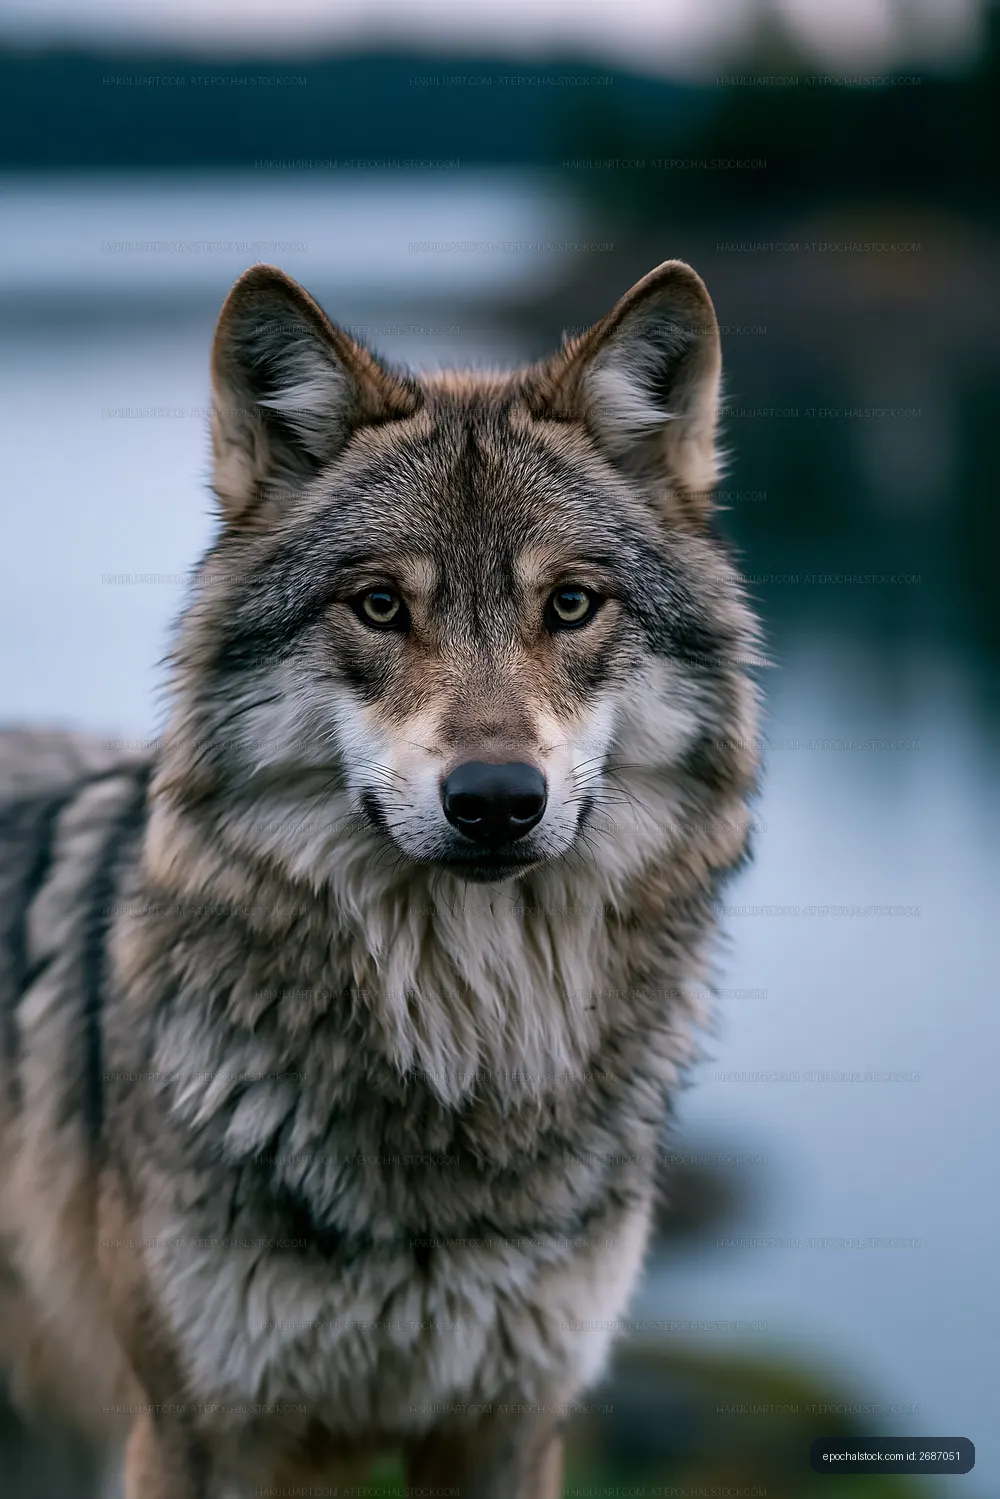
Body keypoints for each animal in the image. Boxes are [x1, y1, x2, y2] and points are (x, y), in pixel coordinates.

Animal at [0, 259, 760, 1496]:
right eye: (380, 605)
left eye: (569, 603)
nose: (495, 798)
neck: (465, 1045)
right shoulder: (194, 1430)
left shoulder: (512, 1422)